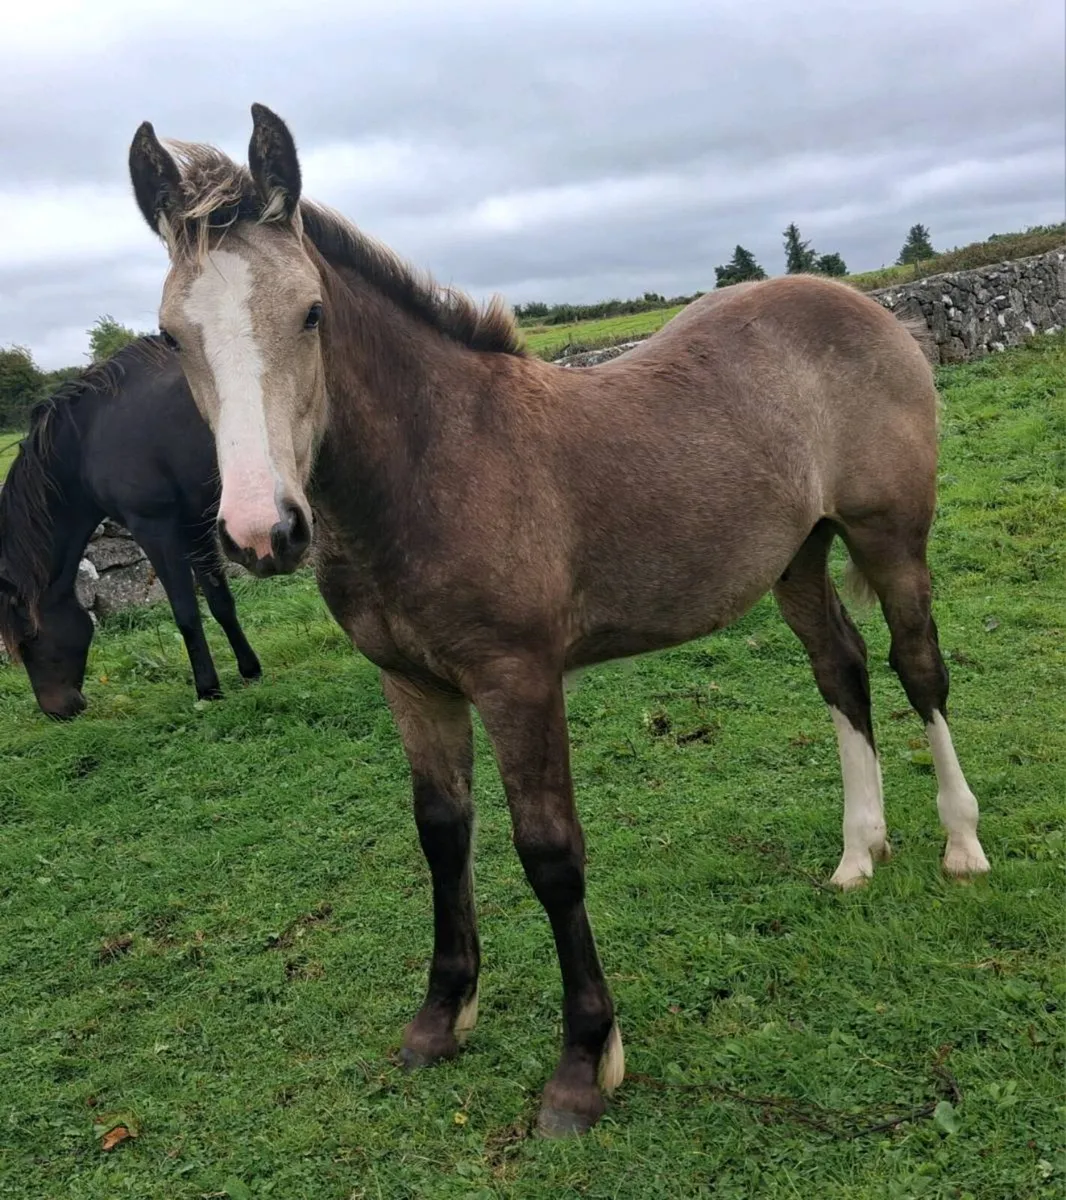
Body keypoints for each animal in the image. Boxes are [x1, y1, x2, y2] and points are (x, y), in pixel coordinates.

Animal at [0, 337, 261, 718]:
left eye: (28, 638)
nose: (58, 711)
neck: (91, 432)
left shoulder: (154, 528)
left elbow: (186, 613)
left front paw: (208, 689)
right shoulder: (194, 525)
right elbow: (220, 602)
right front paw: (250, 670)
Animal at [127, 104, 991, 1137]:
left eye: (310, 314)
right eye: (171, 335)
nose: (263, 531)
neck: (434, 464)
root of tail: (866, 308)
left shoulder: (519, 679)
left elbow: (549, 853)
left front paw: (584, 1062)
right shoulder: (411, 683)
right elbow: (440, 832)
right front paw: (440, 1017)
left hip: (890, 539)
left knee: (918, 667)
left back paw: (961, 844)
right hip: (795, 557)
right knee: (844, 670)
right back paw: (860, 853)